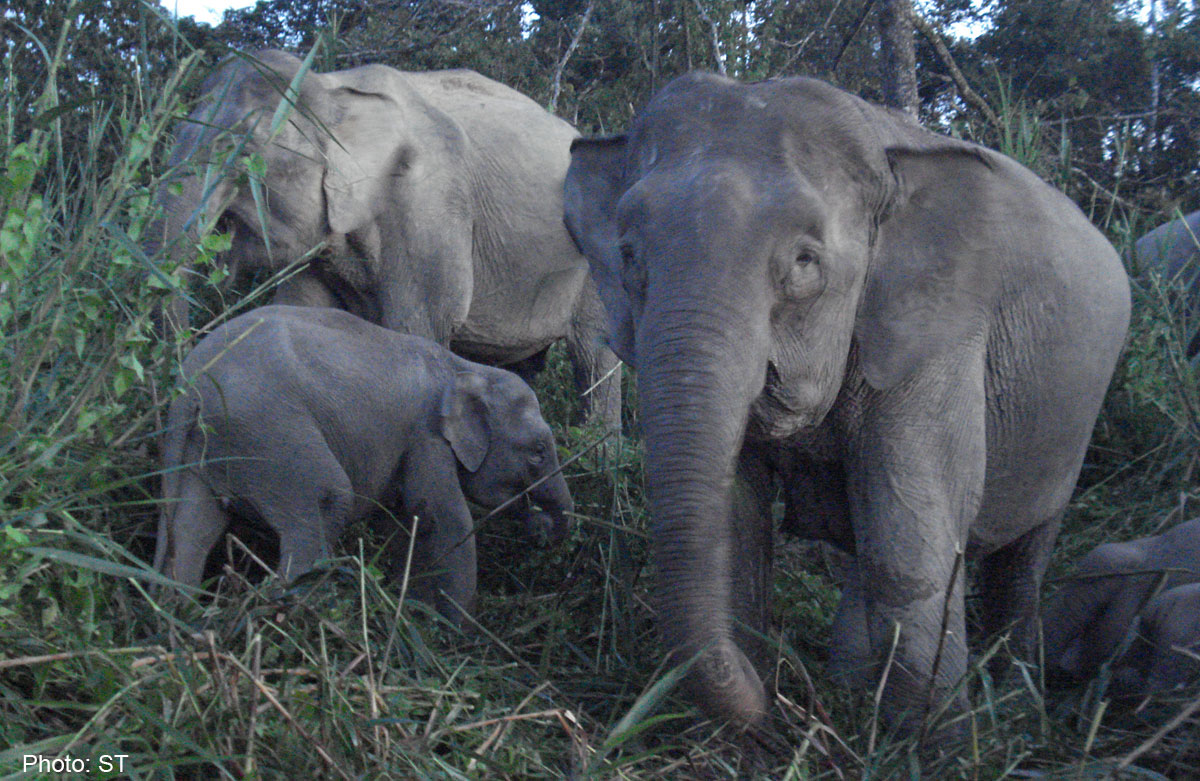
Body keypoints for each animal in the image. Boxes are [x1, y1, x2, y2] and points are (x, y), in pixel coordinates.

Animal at [150, 50, 619, 429]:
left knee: (594, 355)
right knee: (524, 366)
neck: (332, 91)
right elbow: (306, 313)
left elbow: (416, 327)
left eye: (243, 152)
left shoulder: (430, 207)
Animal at [153, 305, 574, 624]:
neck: (465, 368)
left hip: (205, 448)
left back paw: (181, 619)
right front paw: (453, 636)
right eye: (538, 450)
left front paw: (416, 616)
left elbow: (406, 524)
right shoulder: (426, 437)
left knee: (192, 528)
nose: (539, 526)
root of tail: (190, 389)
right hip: (268, 431)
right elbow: (443, 518)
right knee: (323, 503)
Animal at [563, 72, 1130, 733]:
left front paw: (929, 739)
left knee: (1022, 556)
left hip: (1074, 425)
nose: (779, 699)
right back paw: (853, 685)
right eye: (628, 254)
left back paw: (1014, 697)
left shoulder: (940, 332)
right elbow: (739, 519)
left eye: (806, 261)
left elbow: (907, 527)